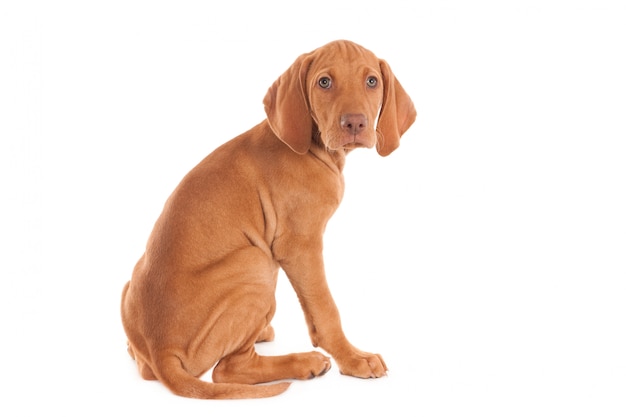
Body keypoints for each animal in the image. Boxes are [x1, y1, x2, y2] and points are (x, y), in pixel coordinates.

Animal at [120, 39, 416, 400]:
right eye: (324, 82)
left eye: (372, 81)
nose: (355, 124)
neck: (313, 147)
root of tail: (160, 352)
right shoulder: (300, 246)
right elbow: (325, 308)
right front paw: (352, 358)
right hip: (257, 262)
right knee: (228, 369)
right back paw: (303, 362)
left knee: (148, 364)